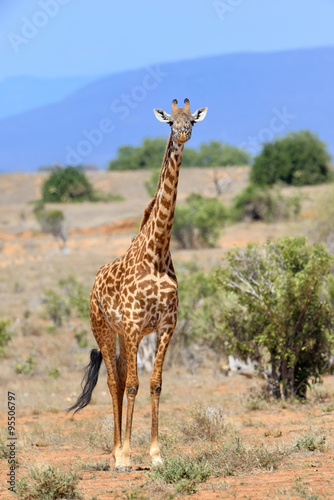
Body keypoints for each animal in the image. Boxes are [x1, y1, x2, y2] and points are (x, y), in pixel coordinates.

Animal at [67, 98, 207, 472]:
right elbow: (132, 385)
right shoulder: (132, 326)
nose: (183, 133)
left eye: (192, 121)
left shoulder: (166, 325)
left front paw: (156, 455)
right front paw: (128, 456)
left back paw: (118, 450)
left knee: (118, 376)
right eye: (170, 121)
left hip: (119, 334)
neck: (157, 253)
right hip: (102, 327)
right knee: (114, 381)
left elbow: (155, 384)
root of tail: (93, 285)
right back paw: (116, 453)